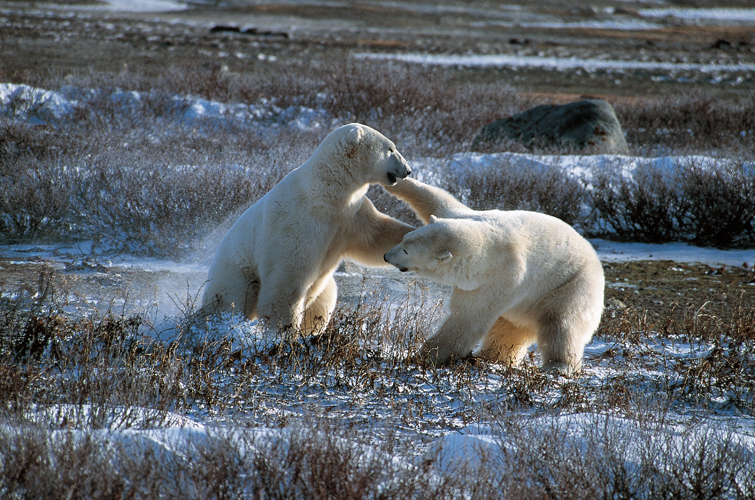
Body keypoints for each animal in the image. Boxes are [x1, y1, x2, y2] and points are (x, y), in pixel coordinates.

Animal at [198, 124, 416, 336]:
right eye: (391, 149)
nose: (408, 170)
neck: (326, 193)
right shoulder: (297, 223)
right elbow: (287, 281)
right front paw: (283, 333)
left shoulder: (351, 215)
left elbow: (377, 235)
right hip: (237, 271)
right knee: (233, 299)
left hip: (323, 289)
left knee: (322, 303)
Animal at [386, 178, 604, 374]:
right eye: (404, 238)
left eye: (406, 251)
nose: (386, 255)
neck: (490, 248)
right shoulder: (469, 219)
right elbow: (439, 201)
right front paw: (398, 181)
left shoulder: (501, 280)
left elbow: (467, 318)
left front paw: (426, 355)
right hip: (526, 307)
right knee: (508, 329)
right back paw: (489, 356)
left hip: (570, 288)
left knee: (562, 326)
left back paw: (558, 366)